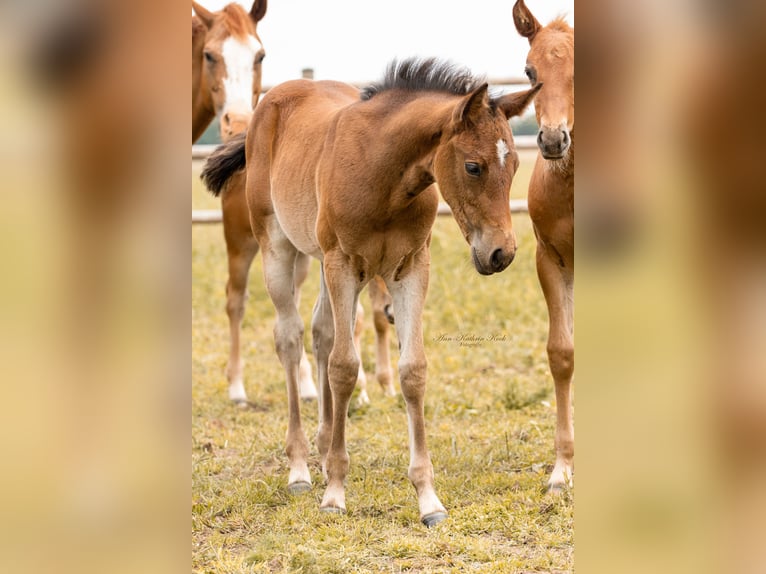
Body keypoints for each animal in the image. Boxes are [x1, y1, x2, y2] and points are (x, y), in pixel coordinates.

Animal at [201, 58, 540, 525]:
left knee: (322, 331)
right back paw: (300, 466)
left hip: (321, 260)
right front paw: (334, 492)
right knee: (289, 338)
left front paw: (428, 499)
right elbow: (345, 367)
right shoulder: (343, 263)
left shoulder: (410, 268)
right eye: (473, 166)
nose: (500, 254)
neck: (384, 176)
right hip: (279, 249)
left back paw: (324, 444)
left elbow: (412, 370)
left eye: (515, 166)